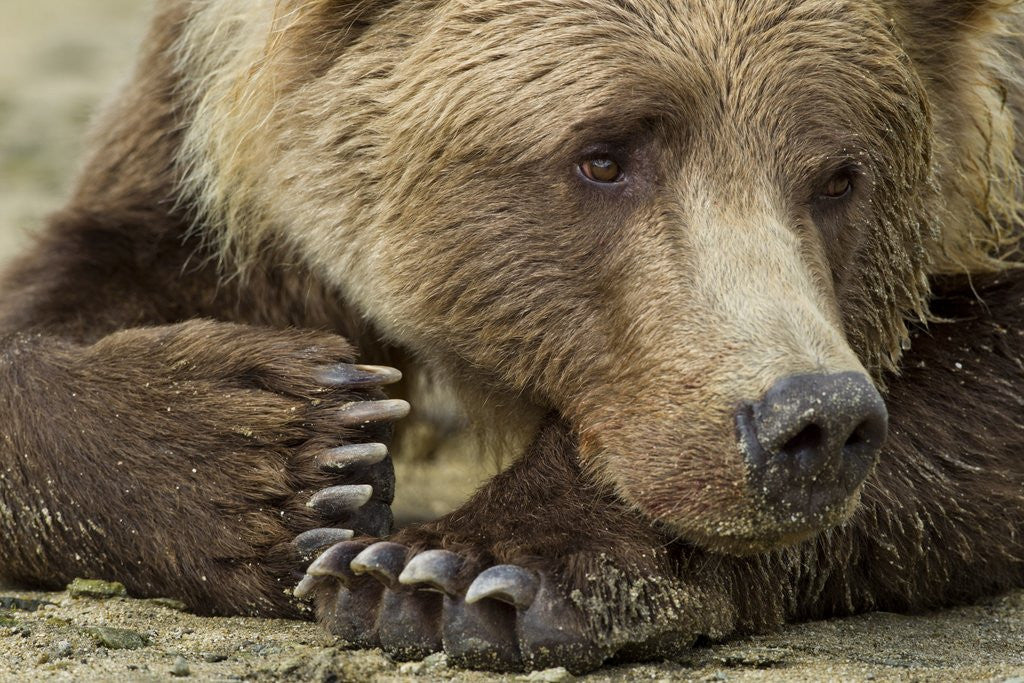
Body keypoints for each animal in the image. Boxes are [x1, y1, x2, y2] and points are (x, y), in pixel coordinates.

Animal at [0, 0, 1022, 673]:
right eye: (603, 155)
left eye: (841, 176)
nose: (812, 421)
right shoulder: (198, 139)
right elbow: (90, 276)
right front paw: (284, 450)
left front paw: (452, 572)